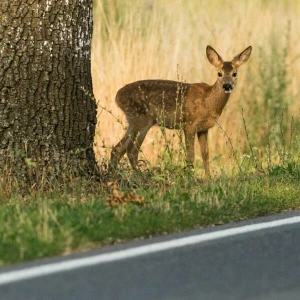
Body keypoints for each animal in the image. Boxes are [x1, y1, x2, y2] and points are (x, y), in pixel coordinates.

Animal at [109, 45, 251, 176]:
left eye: (235, 74)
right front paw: (191, 178)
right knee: (131, 150)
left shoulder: (203, 128)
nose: (227, 86)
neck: (208, 101)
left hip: (134, 121)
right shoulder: (189, 124)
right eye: (219, 73)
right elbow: (190, 156)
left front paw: (208, 179)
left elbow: (205, 155)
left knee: (118, 149)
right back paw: (139, 176)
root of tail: (117, 96)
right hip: (142, 119)